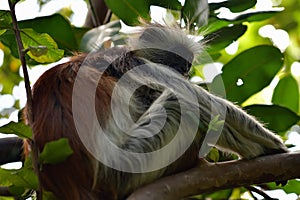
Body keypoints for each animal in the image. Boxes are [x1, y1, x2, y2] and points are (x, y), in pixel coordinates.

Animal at [25, 25, 288, 200]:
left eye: (187, 67)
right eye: (180, 63)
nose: (185, 72)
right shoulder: (140, 67)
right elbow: (201, 100)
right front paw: (272, 146)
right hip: (128, 168)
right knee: (179, 102)